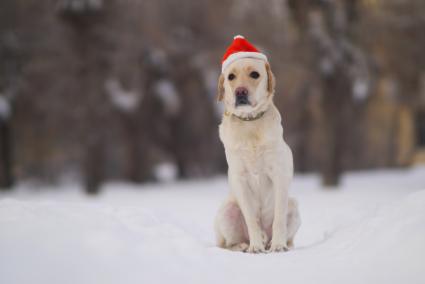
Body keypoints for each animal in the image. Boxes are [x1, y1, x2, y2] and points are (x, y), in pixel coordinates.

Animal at [214, 35, 300, 253]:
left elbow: (279, 219)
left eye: (254, 74)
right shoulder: (240, 179)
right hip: (227, 209)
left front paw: (278, 245)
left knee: (288, 235)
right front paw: (255, 246)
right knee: (228, 244)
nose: (240, 91)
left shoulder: (278, 175)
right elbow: (252, 218)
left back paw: (273, 243)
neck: (250, 124)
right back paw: (247, 244)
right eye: (231, 77)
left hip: (294, 205)